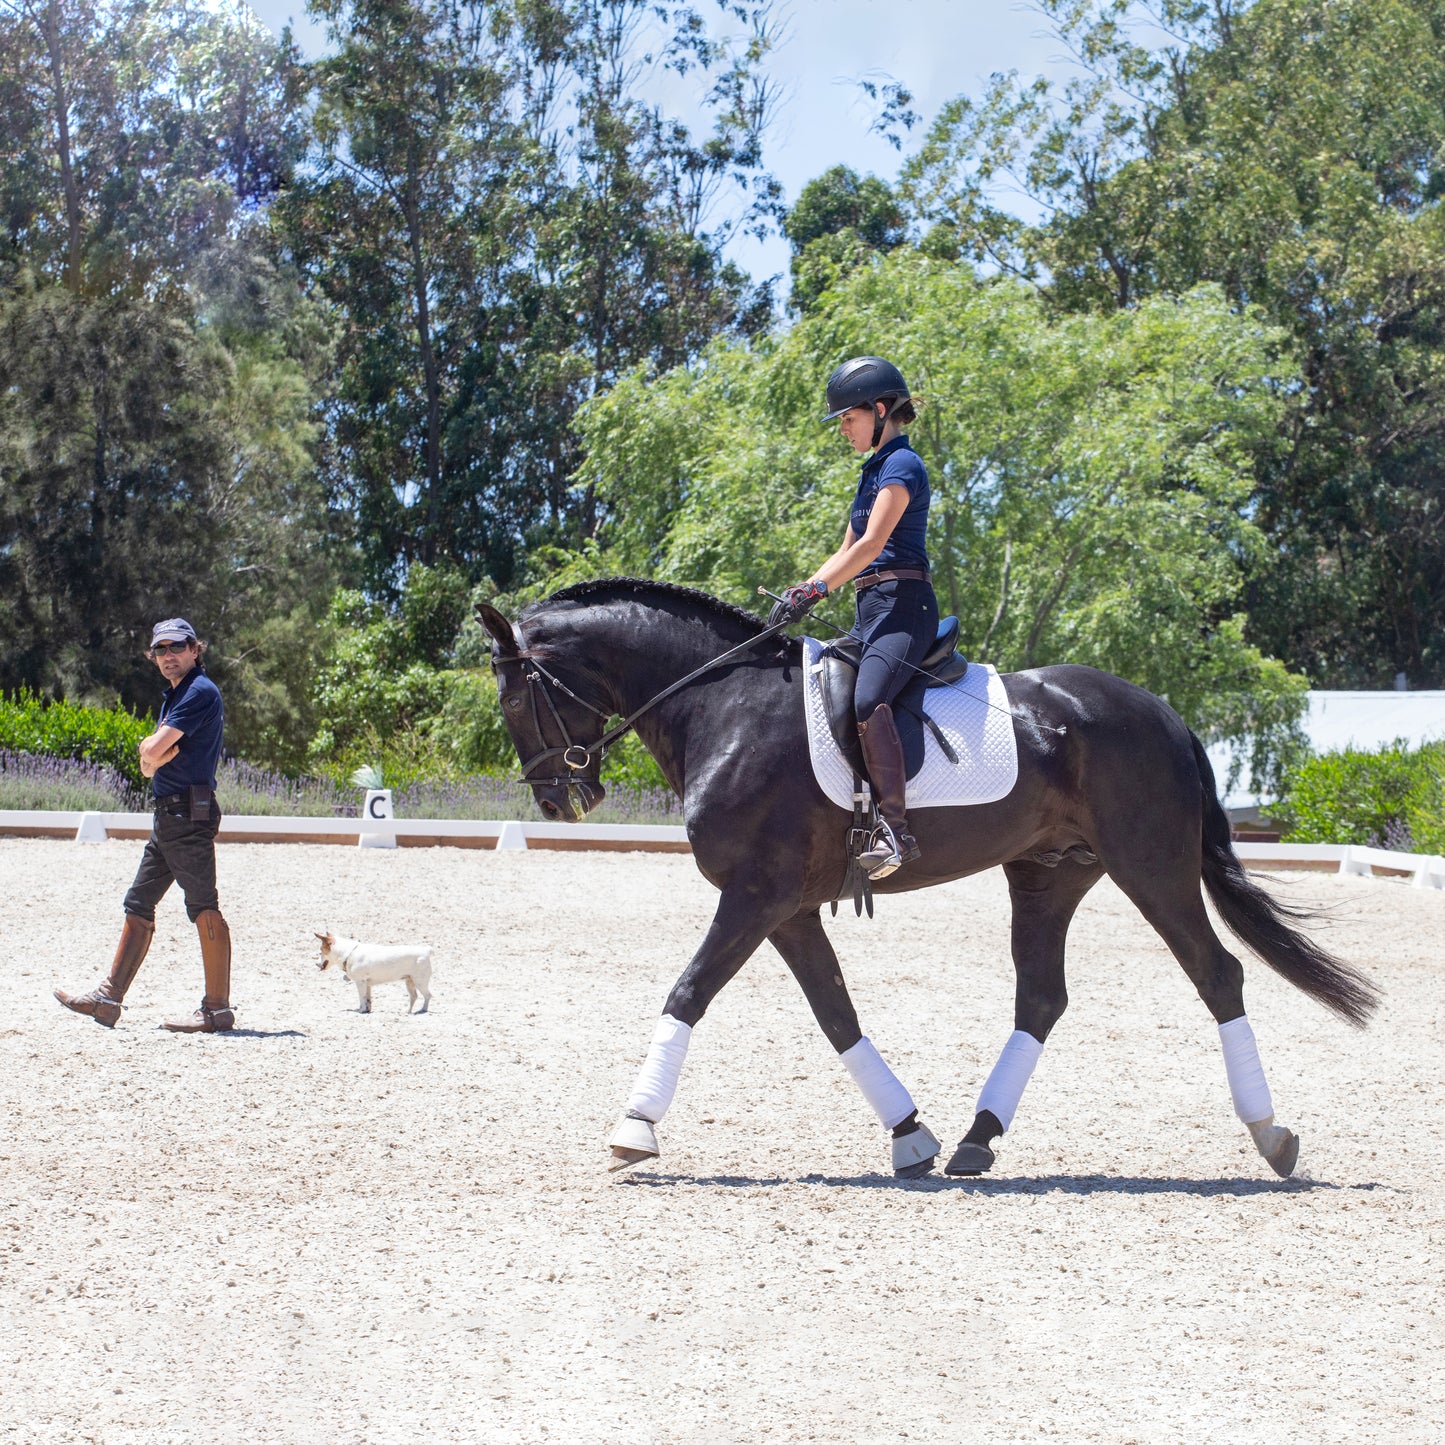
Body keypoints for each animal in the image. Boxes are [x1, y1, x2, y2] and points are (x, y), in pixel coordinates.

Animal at [479, 580, 1381, 1179]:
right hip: (1047, 875)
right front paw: (909, 1133)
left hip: (1149, 865)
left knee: (1216, 973)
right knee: (1041, 997)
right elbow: (834, 1013)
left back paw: (1270, 1134)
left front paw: (634, 1125)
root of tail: (1160, 710)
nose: (561, 799)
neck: (723, 705)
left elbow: (688, 991)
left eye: (516, 698)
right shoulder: (784, 905)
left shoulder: (755, 894)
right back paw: (978, 1137)